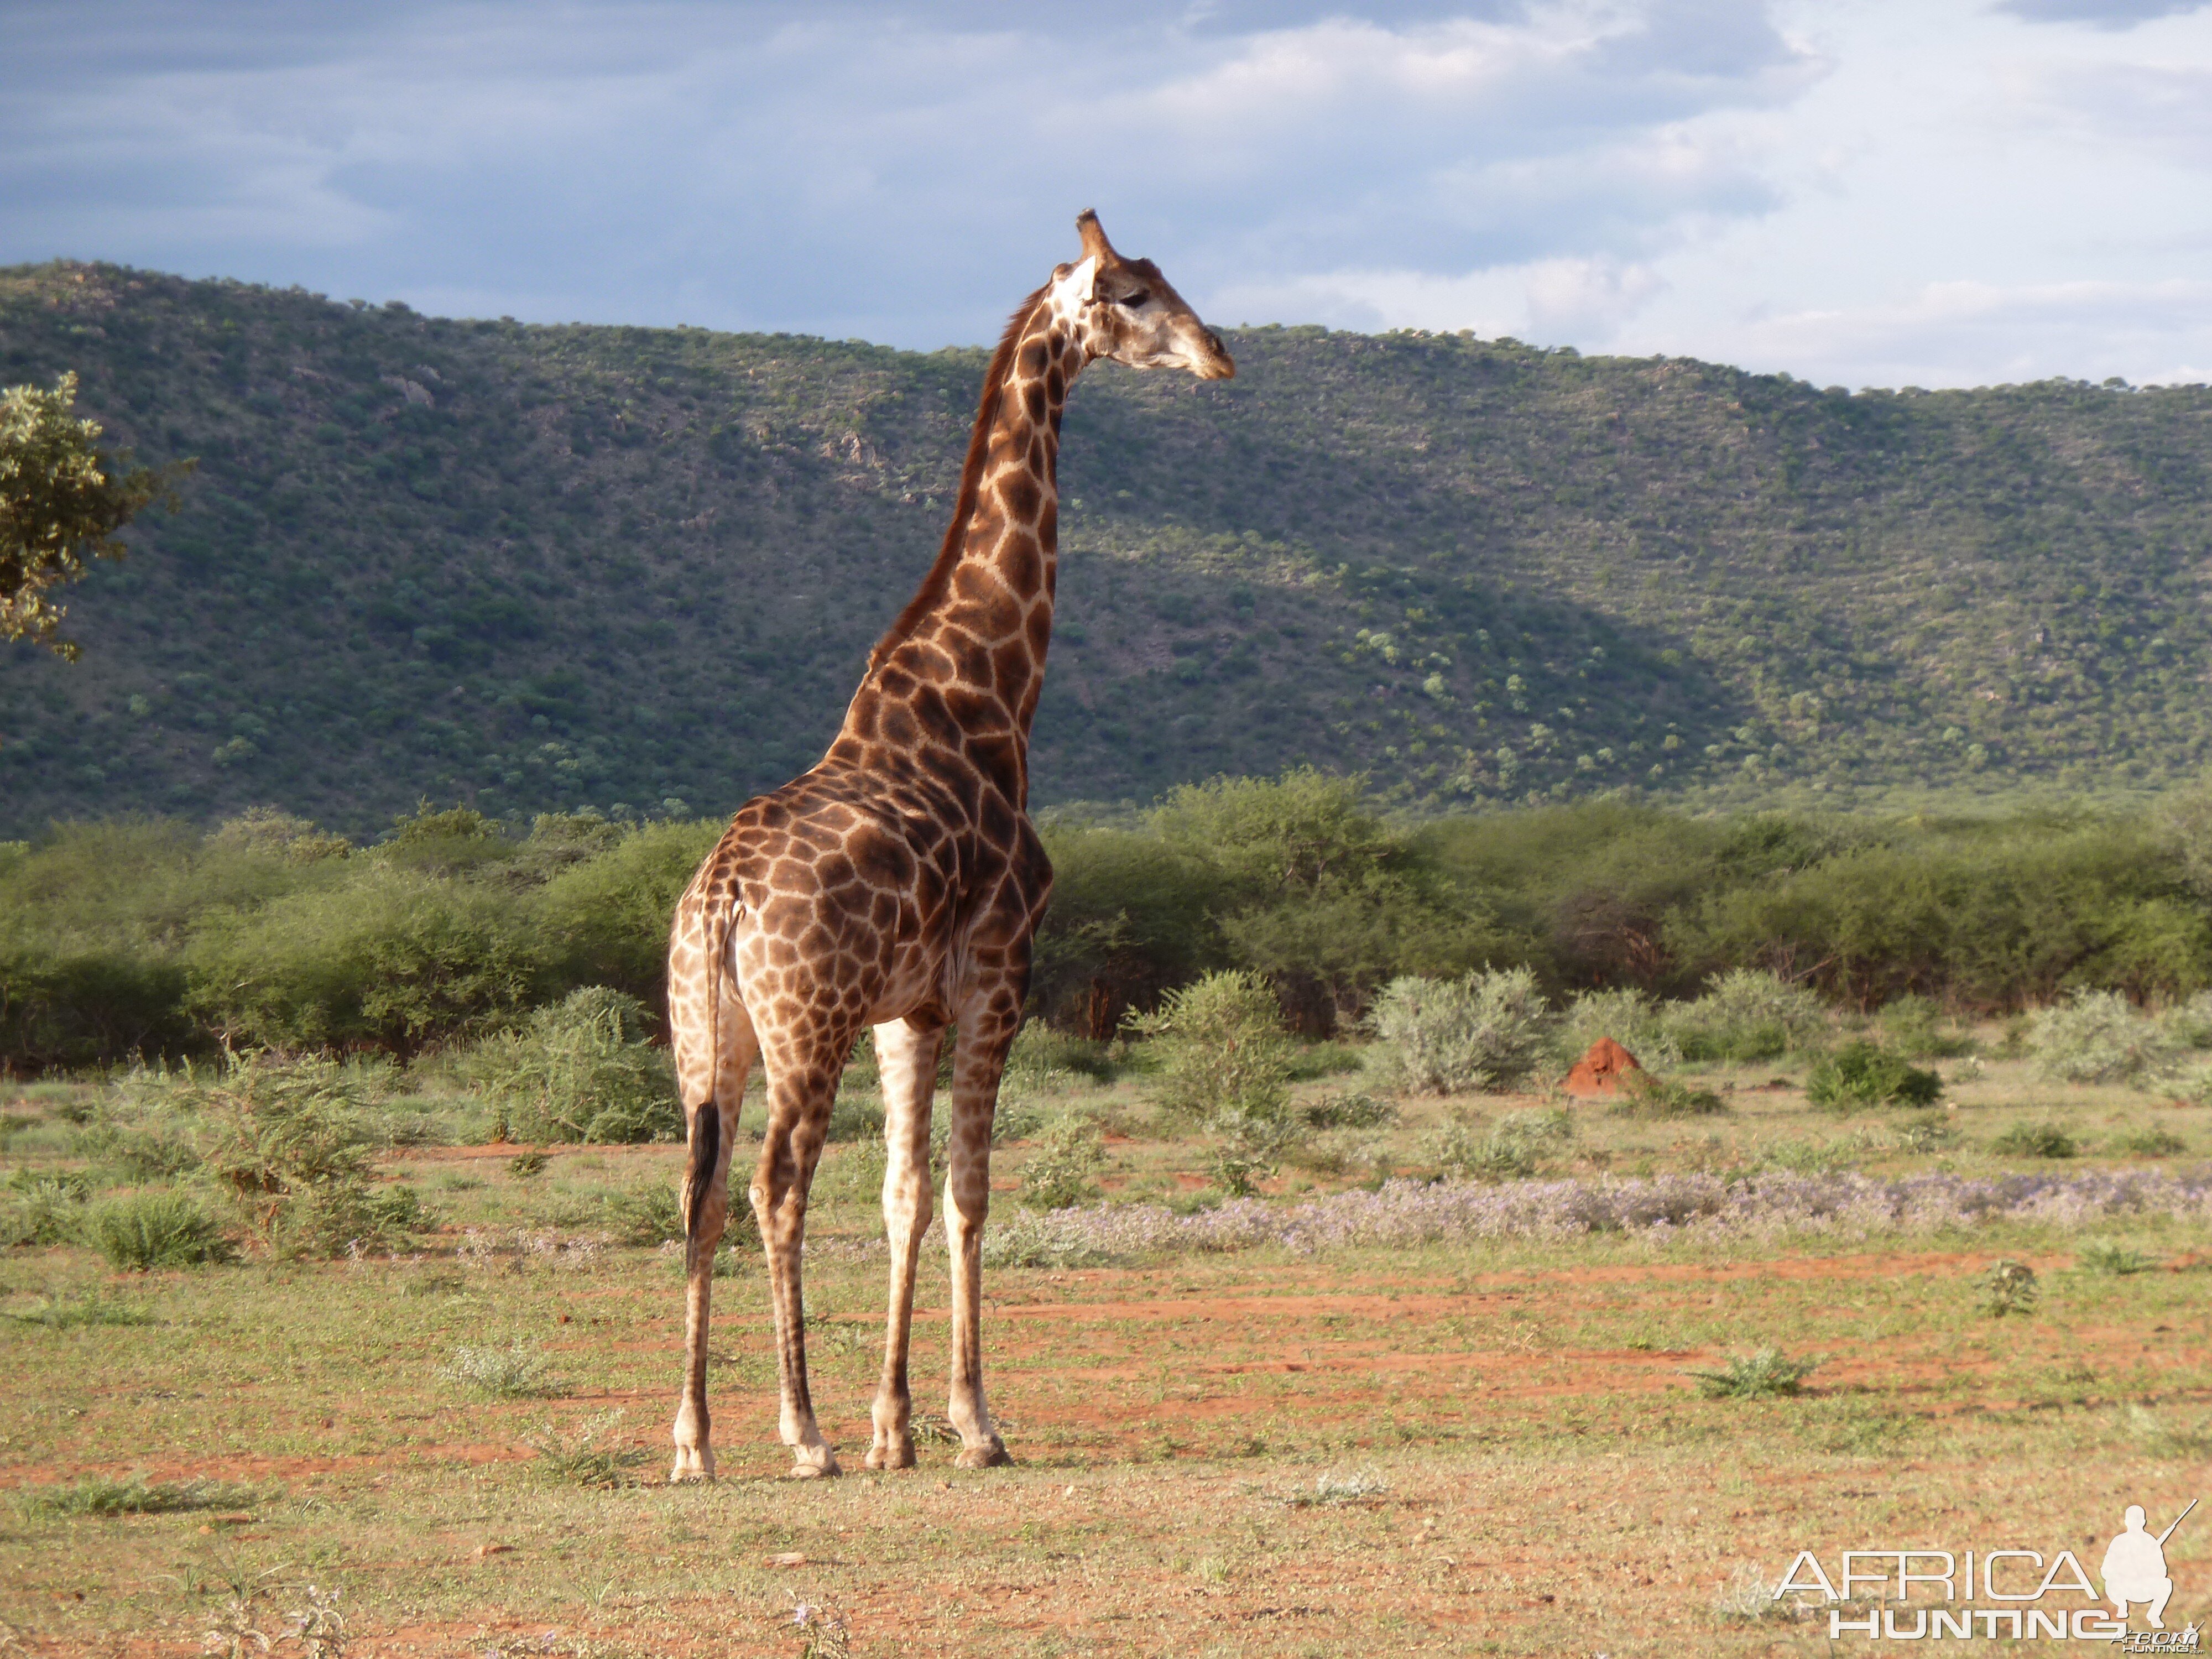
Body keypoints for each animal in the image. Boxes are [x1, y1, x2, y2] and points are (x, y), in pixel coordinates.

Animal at [664, 211, 1239, 1478]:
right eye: (1132, 293)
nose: (1219, 353)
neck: (989, 695)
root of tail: (720, 901)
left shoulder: (907, 1010)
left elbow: (905, 1197)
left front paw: (899, 1428)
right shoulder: (996, 977)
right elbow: (971, 1192)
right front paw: (970, 1423)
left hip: (704, 1034)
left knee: (701, 1189)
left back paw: (694, 1442)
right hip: (806, 1024)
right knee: (777, 1186)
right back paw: (801, 1433)